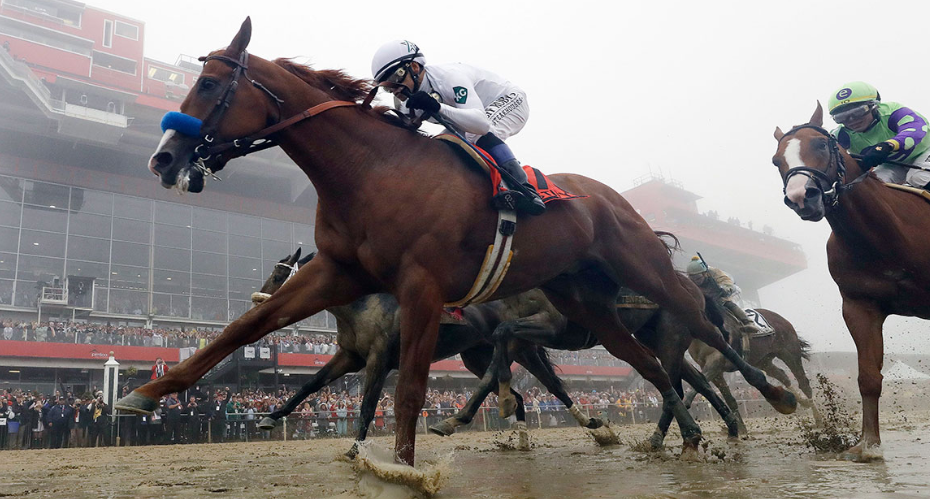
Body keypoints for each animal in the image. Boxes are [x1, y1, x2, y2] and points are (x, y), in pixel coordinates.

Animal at [252, 249, 609, 455]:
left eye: (280, 273)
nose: (257, 303)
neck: (362, 305)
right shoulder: (348, 356)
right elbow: (310, 385)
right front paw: (270, 417)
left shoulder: (378, 359)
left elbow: (367, 405)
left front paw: (355, 449)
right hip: (477, 355)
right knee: (521, 393)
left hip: (520, 346)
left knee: (545, 385)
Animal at [684, 307, 820, 436]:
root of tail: (782, 319)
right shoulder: (711, 369)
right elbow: (728, 398)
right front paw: (741, 428)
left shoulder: (716, 362)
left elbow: (698, 384)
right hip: (762, 360)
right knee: (782, 375)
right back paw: (800, 401)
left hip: (789, 353)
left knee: (804, 383)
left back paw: (818, 418)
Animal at [772, 102, 930, 461]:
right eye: (776, 160)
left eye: (820, 144)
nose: (801, 196)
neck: (884, 237)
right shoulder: (859, 306)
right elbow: (868, 377)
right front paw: (867, 444)